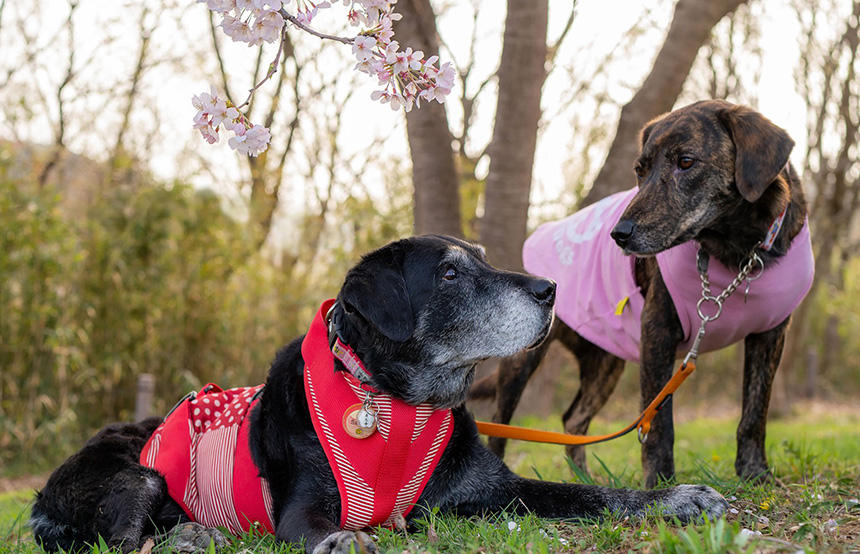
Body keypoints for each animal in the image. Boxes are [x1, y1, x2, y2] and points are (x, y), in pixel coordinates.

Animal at [33, 234, 728, 552]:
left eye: (482, 258)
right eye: (449, 274)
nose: (549, 289)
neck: (399, 406)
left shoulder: (493, 490)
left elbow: (592, 496)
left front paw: (677, 499)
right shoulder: (301, 509)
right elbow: (320, 529)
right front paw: (344, 540)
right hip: (140, 476)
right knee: (123, 540)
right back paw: (193, 535)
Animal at [474, 101, 816, 486]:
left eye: (686, 162)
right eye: (640, 170)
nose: (618, 234)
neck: (735, 250)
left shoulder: (770, 335)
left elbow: (755, 411)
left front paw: (755, 473)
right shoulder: (658, 332)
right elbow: (659, 422)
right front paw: (660, 481)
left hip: (606, 364)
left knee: (574, 419)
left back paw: (585, 480)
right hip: (524, 361)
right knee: (500, 424)